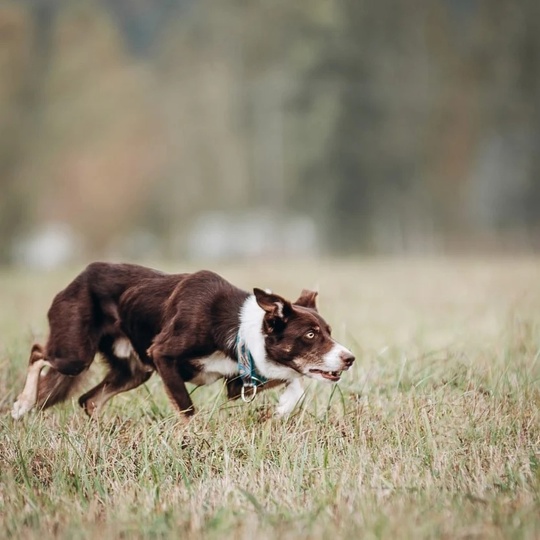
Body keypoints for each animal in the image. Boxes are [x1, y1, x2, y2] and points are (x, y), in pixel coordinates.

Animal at [10, 264, 354, 420]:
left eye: (329, 331)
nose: (349, 358)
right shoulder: (162, 354)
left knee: (89, 400)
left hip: (134, 370)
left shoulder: (239, 381)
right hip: (76, 353)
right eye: (310, 335)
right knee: (38, 353)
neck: (236, 329)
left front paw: (284, 407)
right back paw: (23, 404)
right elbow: (187, 410)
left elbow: (294, 378)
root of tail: (78, 276)